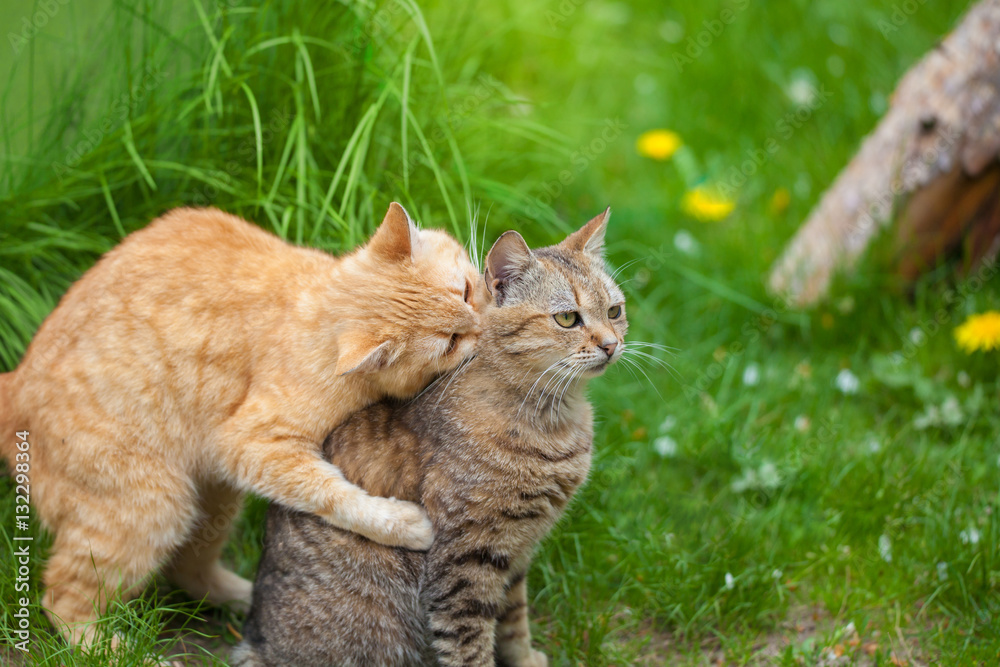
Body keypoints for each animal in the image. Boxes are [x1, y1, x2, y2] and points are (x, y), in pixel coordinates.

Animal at [0, 204, 484, 648]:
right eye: (450, 343)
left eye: (465, 292)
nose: (482, 329)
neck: (319, 305)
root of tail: (14, 383)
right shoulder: (248, 446)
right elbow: (336, 495)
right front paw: (404, 525)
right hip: (155, 506)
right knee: (62, 597)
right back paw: (111, 648)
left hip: (213, 499)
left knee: (187, 569)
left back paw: (241, 599)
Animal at [233, 213, 624, 667]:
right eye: (567, 319)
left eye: (615, 311)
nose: (612, 345)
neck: (555, 417)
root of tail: (256, 642)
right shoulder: (466, 560)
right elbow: (470, 646)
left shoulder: (516, 553)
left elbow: (514, 620)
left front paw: (525, 659)